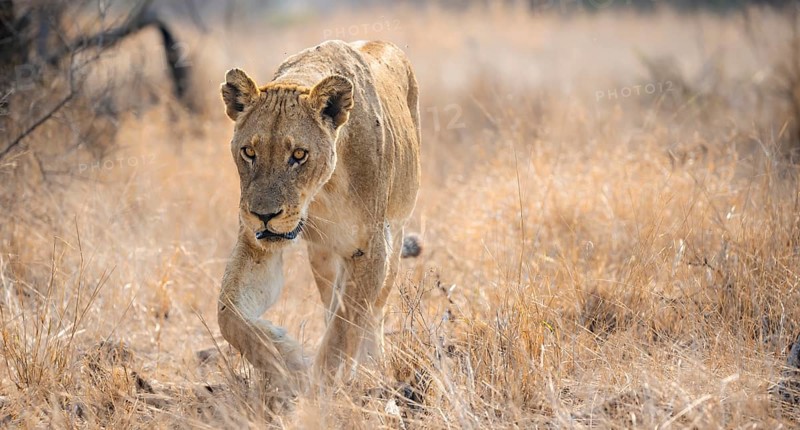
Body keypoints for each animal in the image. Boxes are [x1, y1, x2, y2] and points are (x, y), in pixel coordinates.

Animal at [217, 40, 421, 389]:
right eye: (249, 152)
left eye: (299, 155)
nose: (264, 215)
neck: (322, 190)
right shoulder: (257, 243)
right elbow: (229, 313)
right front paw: (285, 361)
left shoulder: (372, 248)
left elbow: (344, 326)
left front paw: (319, 389)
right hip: (322, 256)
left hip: (395, 236)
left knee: (373, 312)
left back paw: (370, 367)